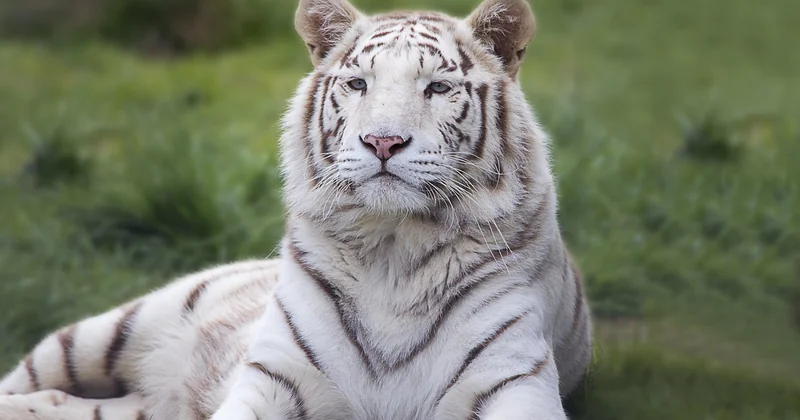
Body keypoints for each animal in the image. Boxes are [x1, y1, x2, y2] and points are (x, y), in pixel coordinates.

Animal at [0, 0, 593, 418]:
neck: (394, 247)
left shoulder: (511, 378)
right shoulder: (276, 376)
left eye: (438, 87)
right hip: (106, 332)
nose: (382, 141)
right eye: (357, 83)